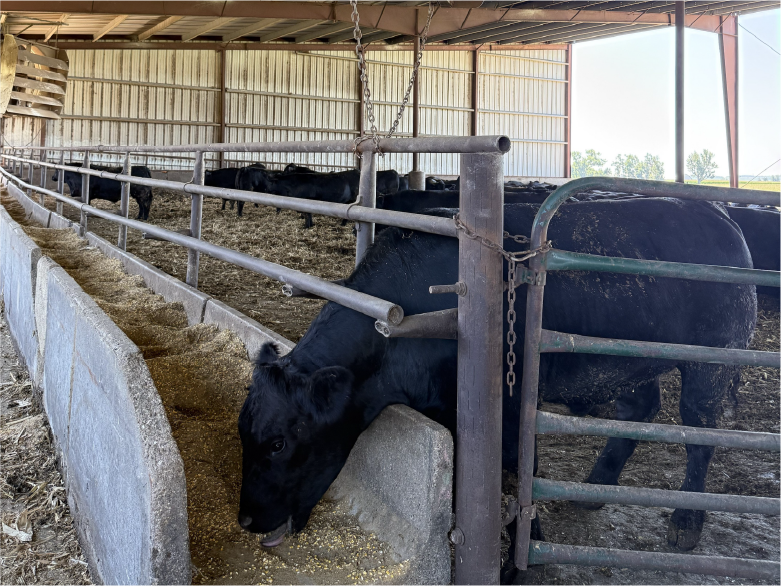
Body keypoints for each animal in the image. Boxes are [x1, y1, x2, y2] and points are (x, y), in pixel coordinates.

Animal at [238, 198, 756, 564]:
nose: (244, 519)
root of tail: (719, 216)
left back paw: (686, 520)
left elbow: (511, 476)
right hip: (621, 361)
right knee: (638, 410)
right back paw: (595, 487)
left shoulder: (505, 407)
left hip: (712, 362)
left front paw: (521, 558)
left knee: (699, 431)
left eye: (279, 443)